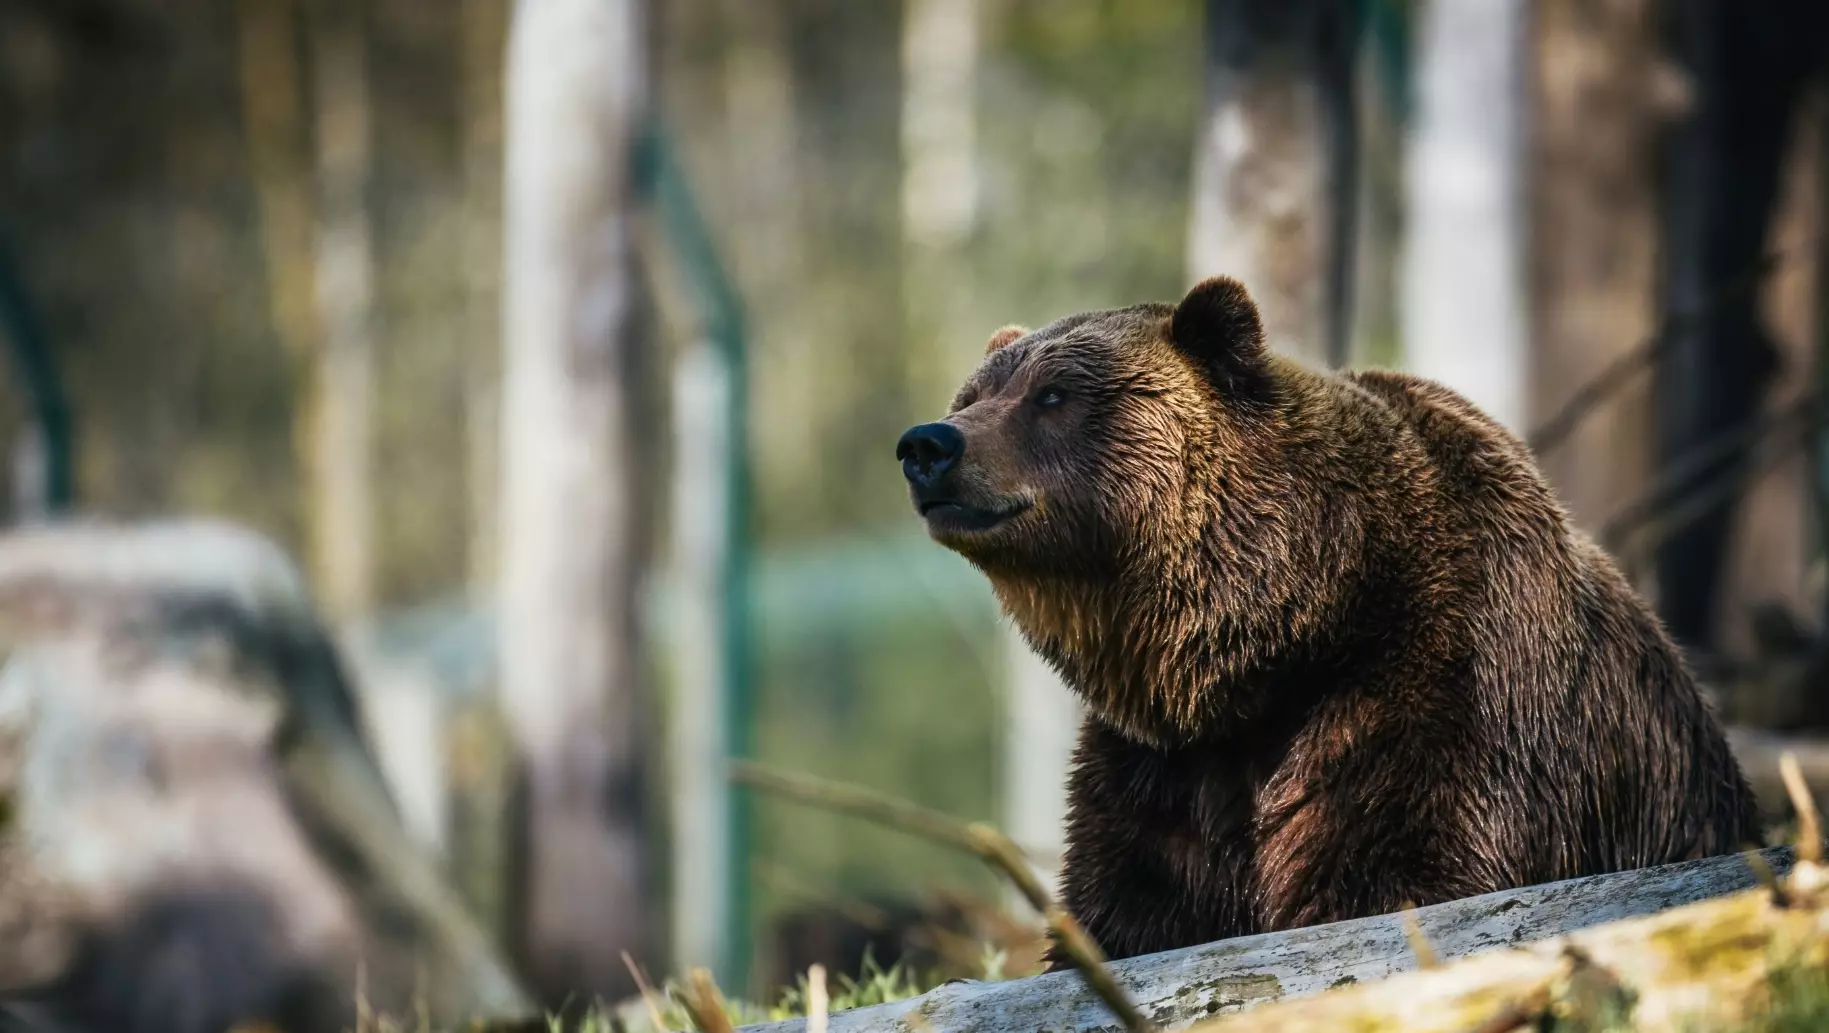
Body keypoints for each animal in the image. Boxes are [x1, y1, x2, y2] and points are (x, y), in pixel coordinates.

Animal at [896, 277, 1755, 965]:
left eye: (1053, 395)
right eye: (971, 396)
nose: (927, 443)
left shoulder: (1437, 692)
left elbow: (1395, 874)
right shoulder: (1161, 770)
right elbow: (1130, 908)